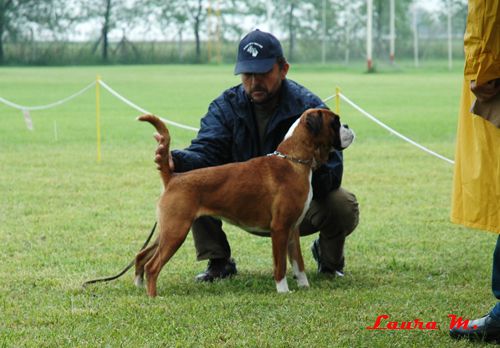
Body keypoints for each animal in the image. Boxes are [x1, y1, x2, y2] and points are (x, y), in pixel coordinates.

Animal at [135, 109, 354, 296]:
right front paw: (283, 290)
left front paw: (304, 287)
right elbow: (281, 265)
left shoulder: (293, 229)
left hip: (168, 231)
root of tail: (173, 177)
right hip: (176, 232)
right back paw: (153, 297)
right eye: (335, 122)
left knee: (141, 256)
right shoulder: (280, 229)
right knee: (152, 266)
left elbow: (298, 263)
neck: (293, 160)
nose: (348, 126)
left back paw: (138, 285)